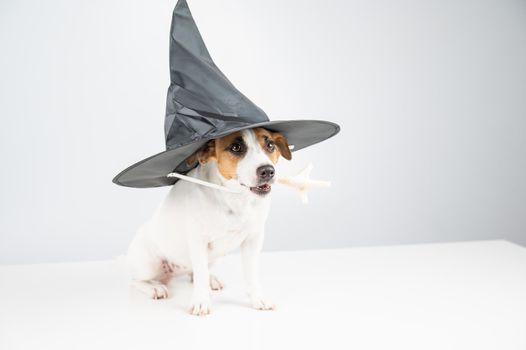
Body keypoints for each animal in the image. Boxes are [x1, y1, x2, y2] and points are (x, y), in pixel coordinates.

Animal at [127, 127, 292, 316]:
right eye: (236, 147)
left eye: (270, 145)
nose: (267, 171)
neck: (235, 198)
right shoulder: (198, 241)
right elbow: (200, 274)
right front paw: (201, 301)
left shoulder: (254, 239)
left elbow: (251, 273)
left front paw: (258, 298)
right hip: (148, 263)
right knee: (137, 280)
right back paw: (155, 288)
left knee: (197, 273)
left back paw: (210, 279)